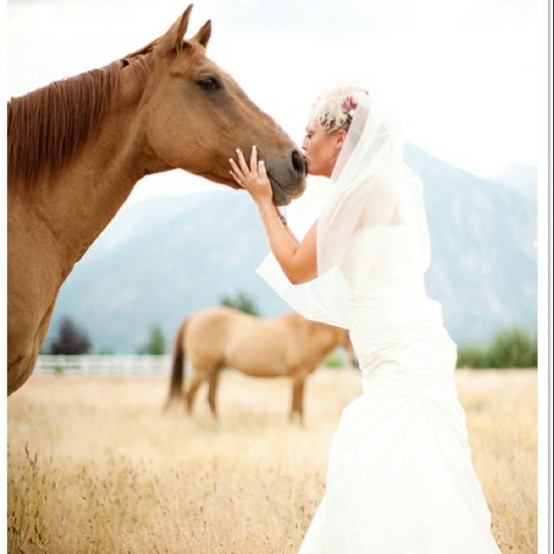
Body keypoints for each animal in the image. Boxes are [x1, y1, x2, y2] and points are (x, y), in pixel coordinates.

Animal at [165, 306, 354, 422]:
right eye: (347, 333)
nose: (355, 360)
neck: (306, 333)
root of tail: (192, 318)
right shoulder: (298, 376)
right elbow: (297, 406)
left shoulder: (298, 378)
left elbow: (295, 405)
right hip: (203, 369)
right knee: (190, 395)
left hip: (215, 369)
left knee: (210, 398)